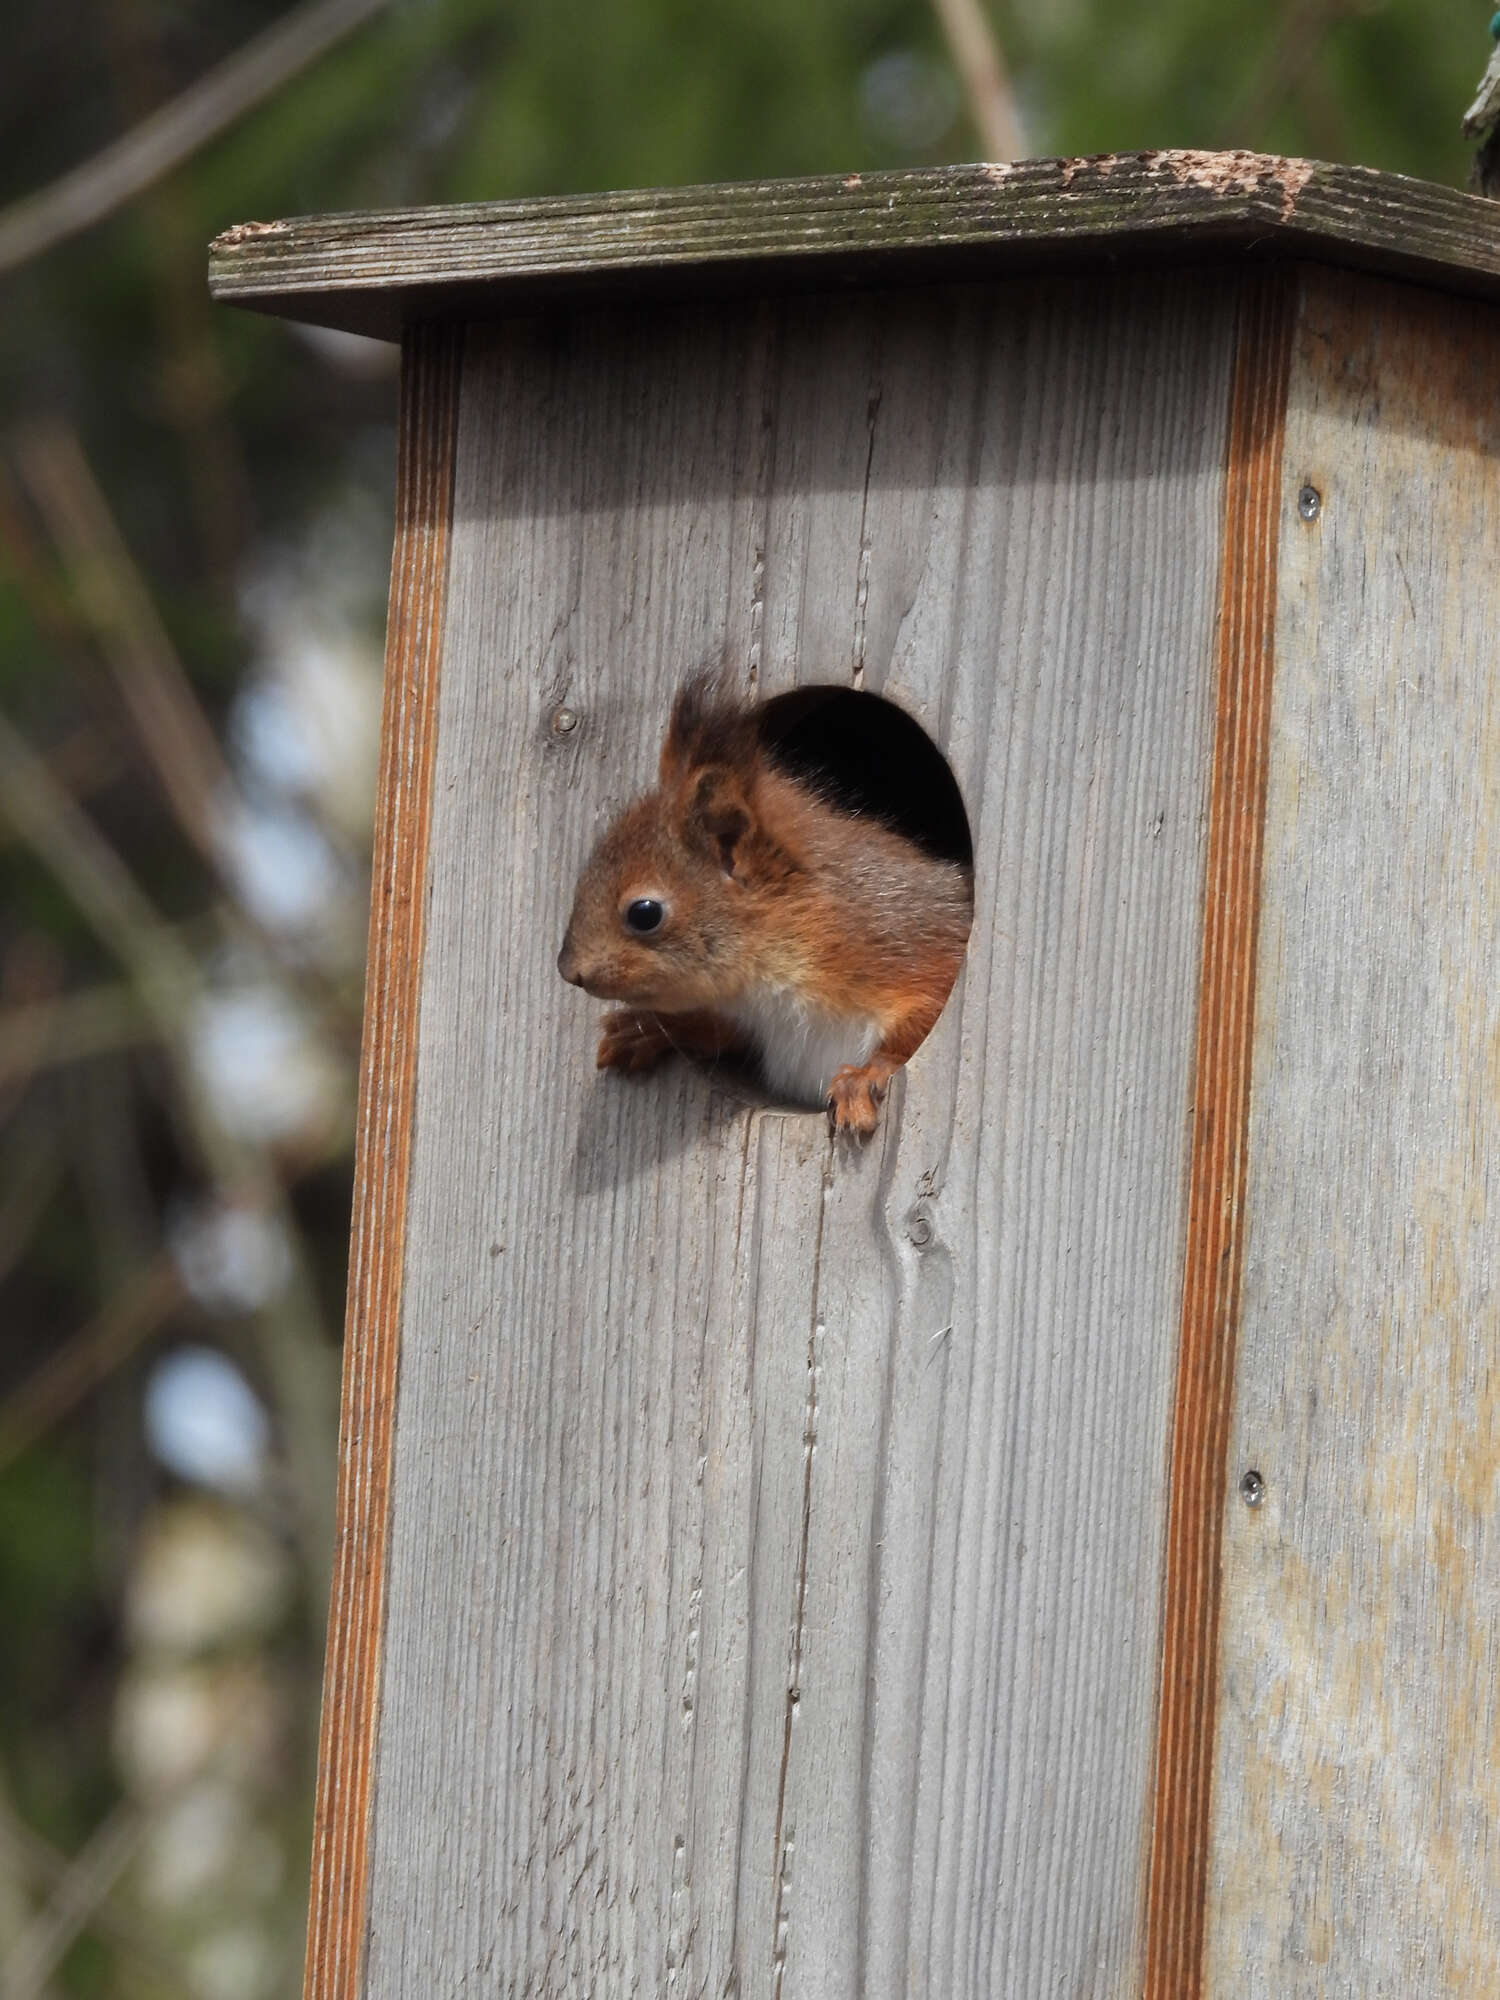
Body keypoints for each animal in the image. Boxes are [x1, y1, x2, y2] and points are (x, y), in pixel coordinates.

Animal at [556, 676, 976, 1136]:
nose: (569, 971)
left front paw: (865, 1076)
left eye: (644, 913)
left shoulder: (914, 949)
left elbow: (918, 1026)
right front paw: (649, 1029)